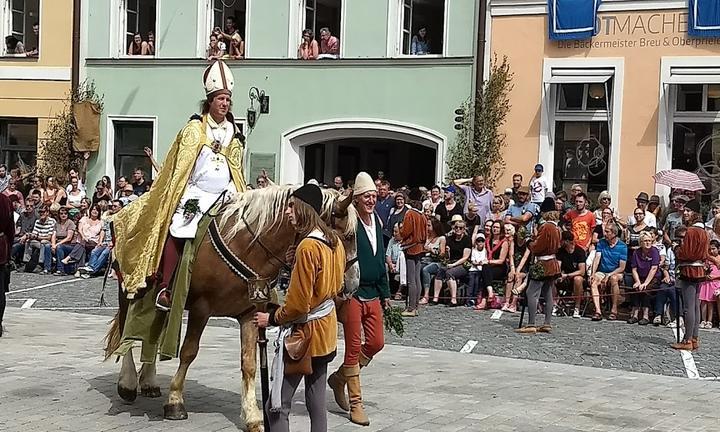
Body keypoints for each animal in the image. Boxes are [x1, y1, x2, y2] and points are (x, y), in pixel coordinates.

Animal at [101, 186, 360, 432]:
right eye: (348, 236)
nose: (353, 283)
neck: (247, 245)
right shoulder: (201, 308)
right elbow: (188, 352)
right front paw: (175, 401)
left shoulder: (250, 314)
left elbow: (249, 363)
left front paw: (253, 416)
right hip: (128, 290)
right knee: (125, 332)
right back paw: (128, 383)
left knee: (152, 336)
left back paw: (149, 382)